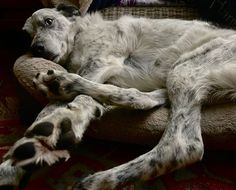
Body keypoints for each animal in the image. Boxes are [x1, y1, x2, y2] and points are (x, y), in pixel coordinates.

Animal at [3, 3, 236, 190]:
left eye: (48, 21)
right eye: (27, 35)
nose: (37, 49)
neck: (79, 35)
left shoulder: (100, 63)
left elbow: (70, 104)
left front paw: (59, 123)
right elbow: (54, 109)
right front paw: (11, 167)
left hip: (184, 70)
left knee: (181, 147)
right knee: (142, 96)